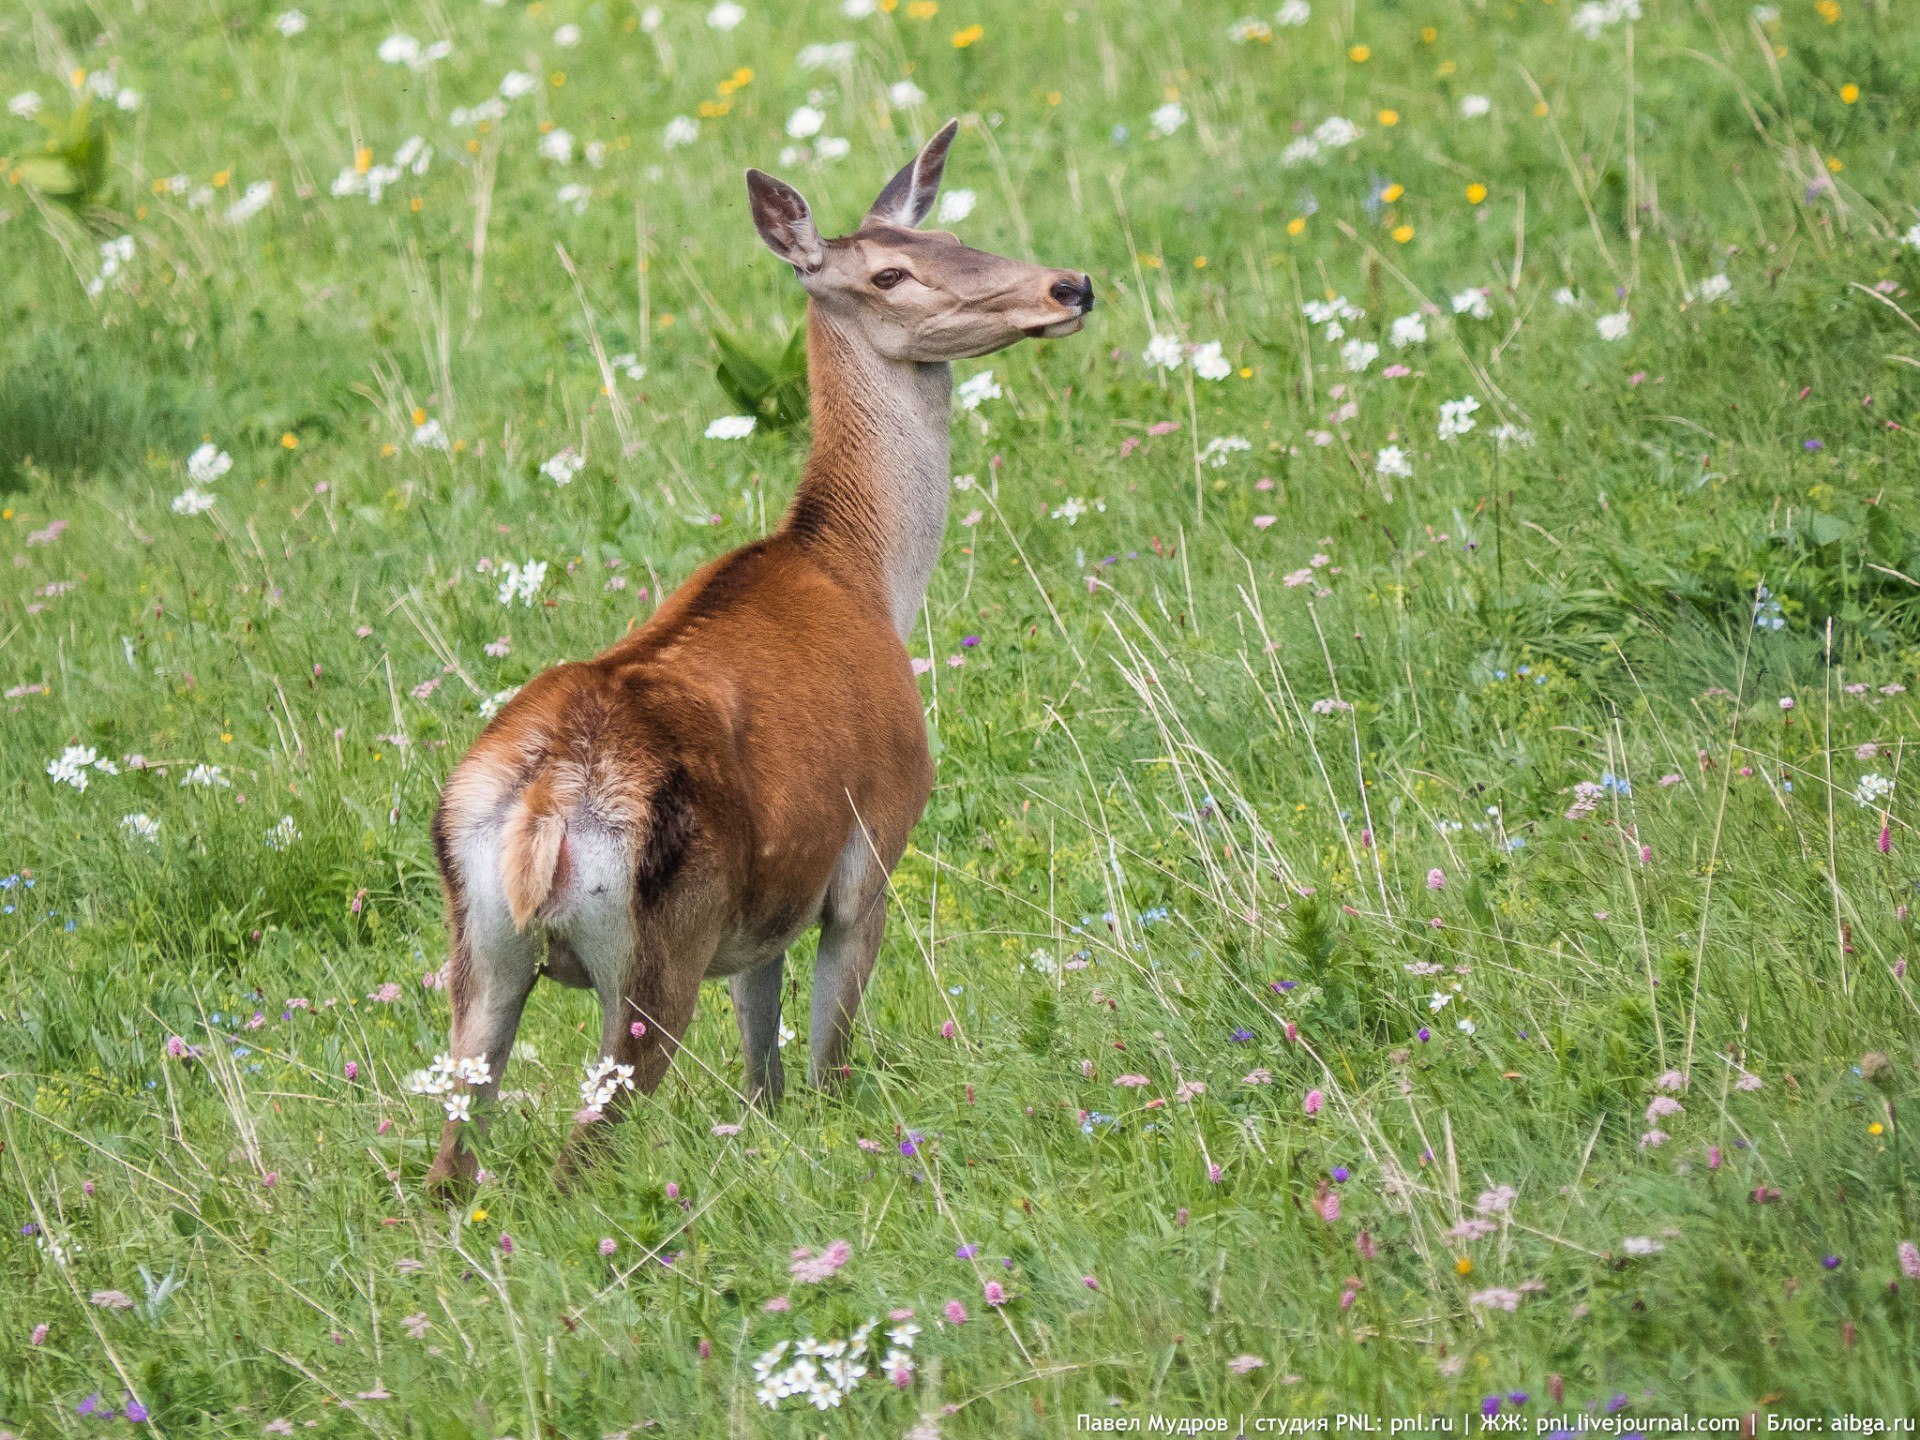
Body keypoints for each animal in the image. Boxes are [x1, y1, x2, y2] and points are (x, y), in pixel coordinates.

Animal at [428, 118, 1098, 1190]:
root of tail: (539, 810)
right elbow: (827, 1064)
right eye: (892, 273)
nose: (1069, 287)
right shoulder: (871, 846)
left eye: (958, 235)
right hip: (656, 951)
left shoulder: (764, 911)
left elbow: (763, 1074)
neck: (864, 576)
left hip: (481, 949)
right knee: (583, 1149)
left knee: (451, 1158)